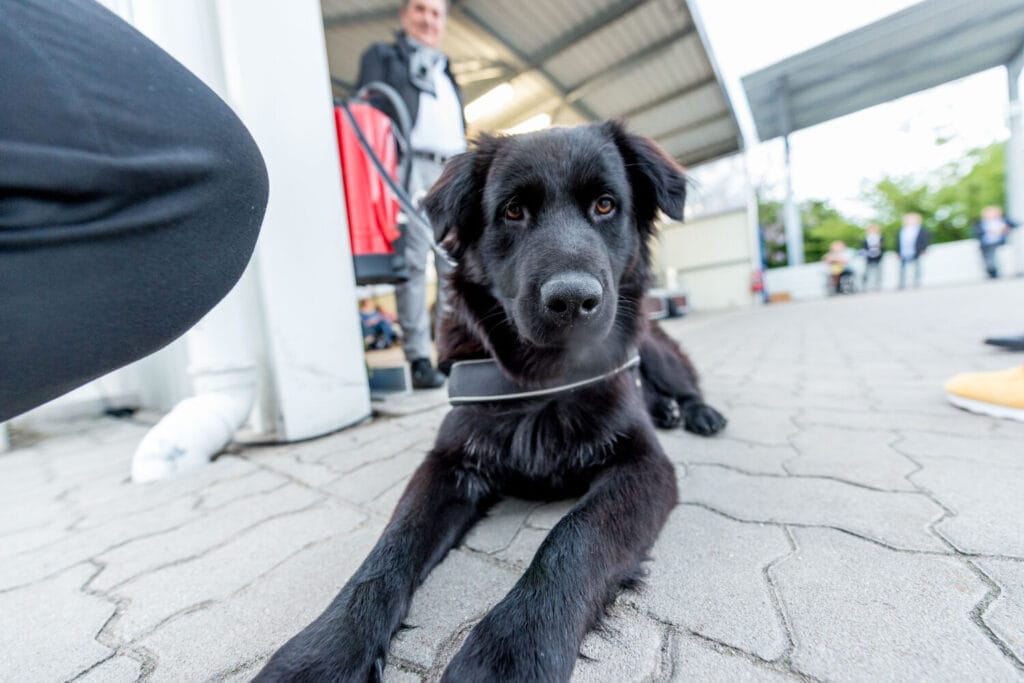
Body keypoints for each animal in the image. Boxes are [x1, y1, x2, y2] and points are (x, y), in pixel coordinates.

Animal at [256, 120, 729, 679]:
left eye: (606, 205)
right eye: (513, 211)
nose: (573, 300)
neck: (541, 380)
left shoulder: (644, 464)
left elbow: (574, 536)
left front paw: (515, 648)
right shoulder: (449, 461)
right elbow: (390, 545)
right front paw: (323, 649)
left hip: (656, 349)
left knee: (682, 384)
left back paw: (696, 412)